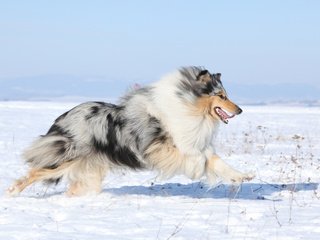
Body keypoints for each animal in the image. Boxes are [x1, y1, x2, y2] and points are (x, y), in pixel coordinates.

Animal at [6, 66, 254, 197]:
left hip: (89, 168)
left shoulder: (193, 143)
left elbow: (217, 161)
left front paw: (244, 176)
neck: (189, 106)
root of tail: (63, 116)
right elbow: (198, 159)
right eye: (221, 96)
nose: (240, 110)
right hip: (67, 155)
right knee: (35, 171)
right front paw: (196, 169)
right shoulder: (164, 146)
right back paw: (12, 191)